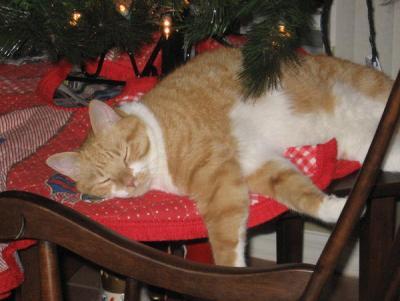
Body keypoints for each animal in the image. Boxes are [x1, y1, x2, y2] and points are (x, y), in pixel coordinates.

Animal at [45, 48, 396, 266]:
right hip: (363, 143)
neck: (160, 137)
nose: (129, 181)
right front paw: (337, 210)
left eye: (126, 153)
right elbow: (300, 193)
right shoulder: (256, 164)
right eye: (105, 180)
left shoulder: (219, 178)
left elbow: (225, 242)